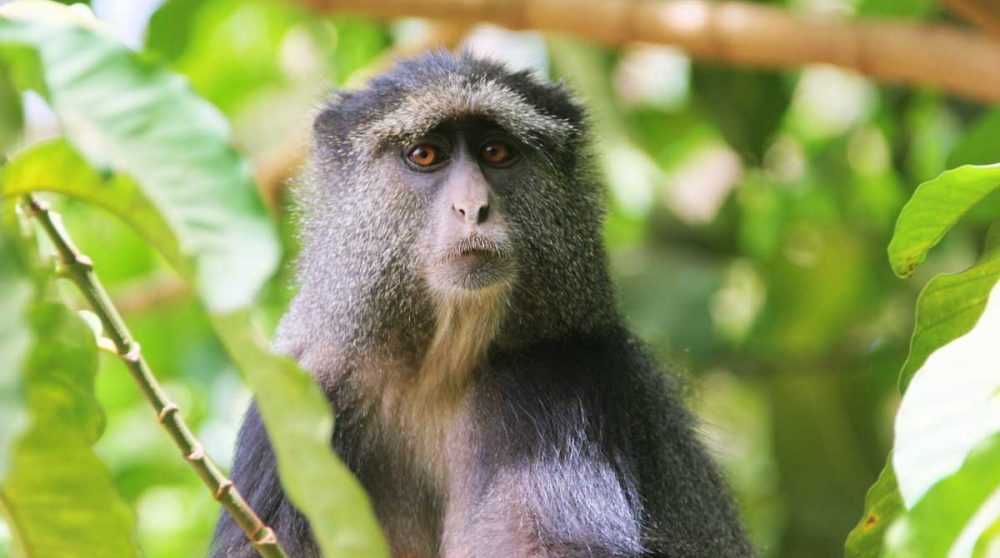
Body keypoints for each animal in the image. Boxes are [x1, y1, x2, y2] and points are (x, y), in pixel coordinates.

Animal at [212, 51, 753, 558]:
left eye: (496, 152)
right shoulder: (296, 394)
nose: (473, 207)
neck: (437, 370)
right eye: (425, 154)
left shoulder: (553, 383)